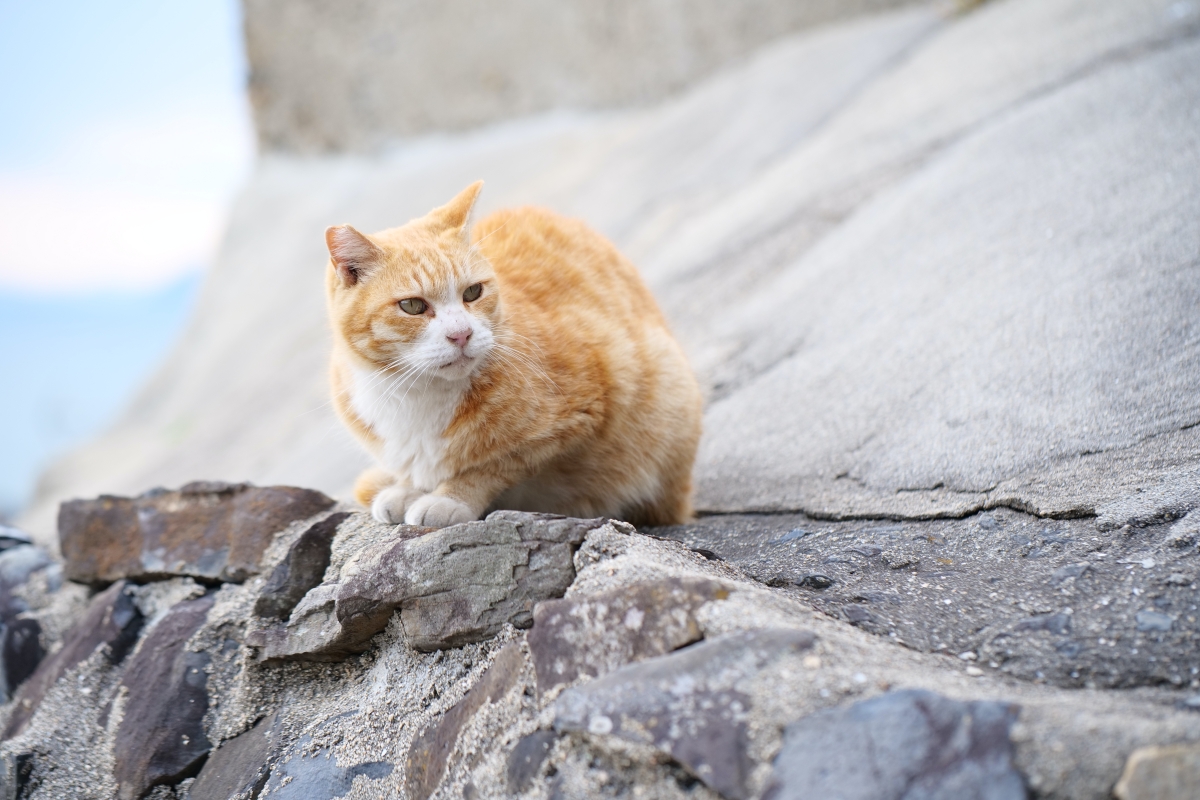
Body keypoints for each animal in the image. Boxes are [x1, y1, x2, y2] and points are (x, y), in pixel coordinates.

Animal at [326, 183, 700, 527]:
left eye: (473, 292)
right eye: (413, 306)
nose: (461, 334)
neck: (417, 391)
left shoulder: (577, 413)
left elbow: (491, 466)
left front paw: (450, 497)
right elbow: (411, 469)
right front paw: (406, 488)